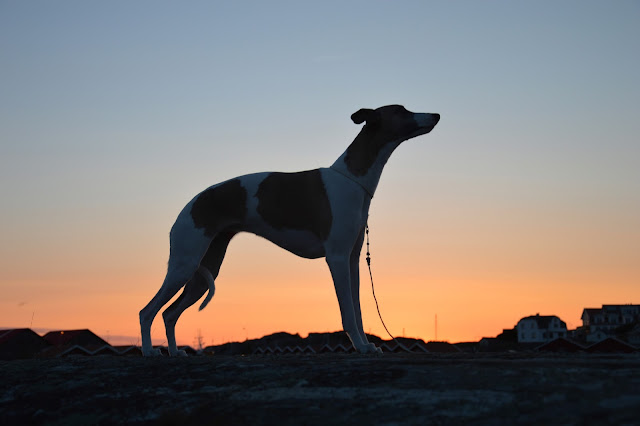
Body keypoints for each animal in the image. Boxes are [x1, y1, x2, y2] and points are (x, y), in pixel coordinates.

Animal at [139, 105, 440, 356]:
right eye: (401, 110)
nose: (436, 115)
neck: (351, 179)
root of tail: (188, 206)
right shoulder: (337, 258)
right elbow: (347, 312)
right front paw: (360, 346)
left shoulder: (352, 260)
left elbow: (357, 309)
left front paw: (366, 346)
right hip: (185, 264)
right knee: (147, 311)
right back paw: (149, 352)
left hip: (205, 270)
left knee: (169, 313)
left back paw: (175, 353)